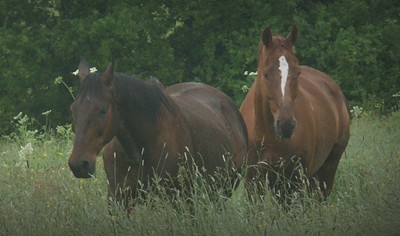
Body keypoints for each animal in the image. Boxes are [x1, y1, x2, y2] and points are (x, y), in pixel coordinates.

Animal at [69, 58, 247, 208]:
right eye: (73, 109)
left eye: (103, 110)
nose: (79, 164)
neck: (139, 152)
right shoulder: (118, 199)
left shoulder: (179, 200)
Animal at [241, 25, 350, 199]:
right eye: (266, 73)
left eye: (297, 73)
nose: (286, 125)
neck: (267, 135)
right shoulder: (253, 182)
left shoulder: (292, 182)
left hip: (327, 170)